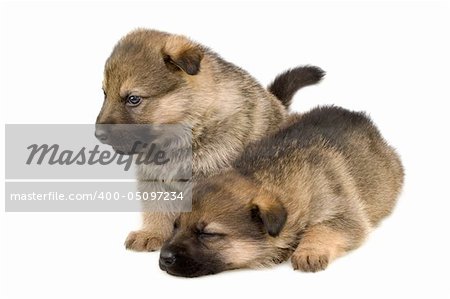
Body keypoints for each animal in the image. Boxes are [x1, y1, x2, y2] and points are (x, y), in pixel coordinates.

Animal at [159, 106, 404, 278]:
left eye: (208, 234)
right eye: (175, 226)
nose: (163, 258)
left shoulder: (344, 211)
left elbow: (324, 228)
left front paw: (309, 251)